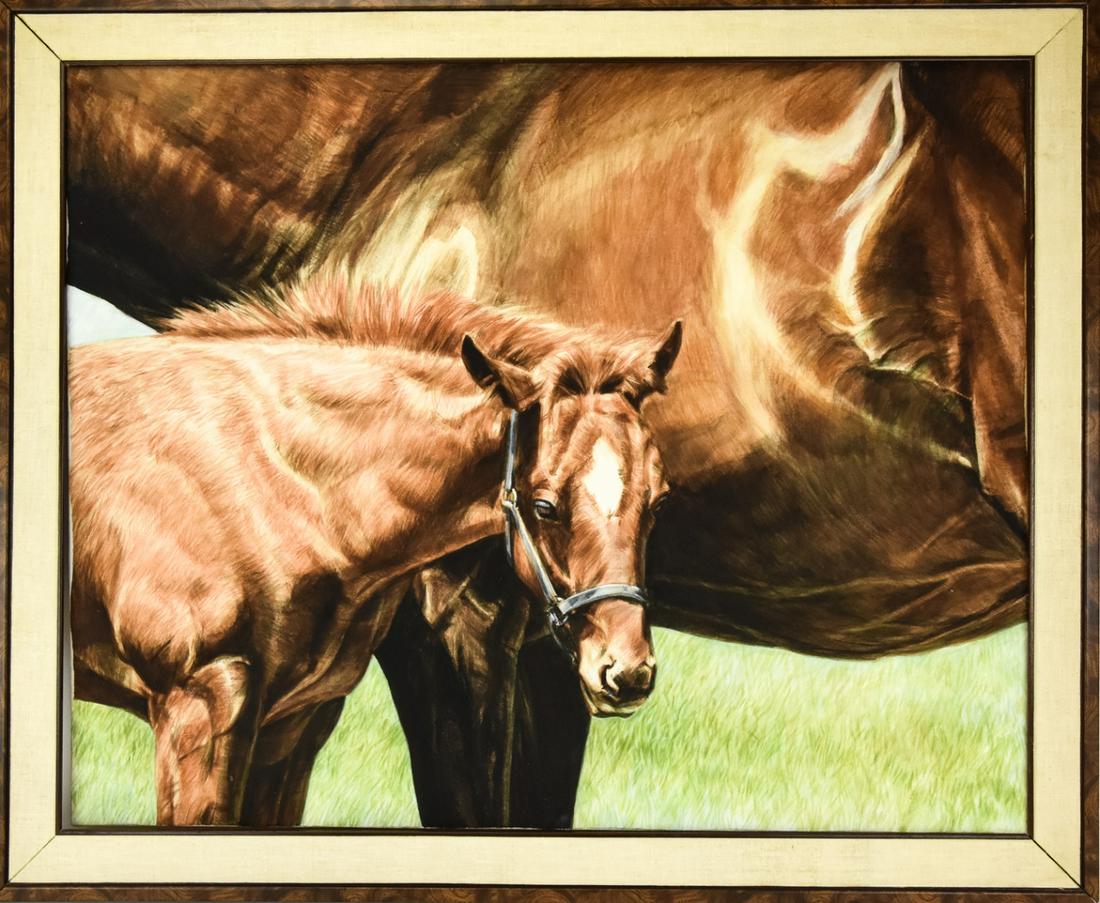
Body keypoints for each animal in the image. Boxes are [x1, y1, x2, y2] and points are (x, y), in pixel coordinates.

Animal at [69, 272, 682, 825]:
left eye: (658, 502)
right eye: (545, 505)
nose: (626, 673)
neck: (275, 477)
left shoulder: (292, 727)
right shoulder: (198, 705)